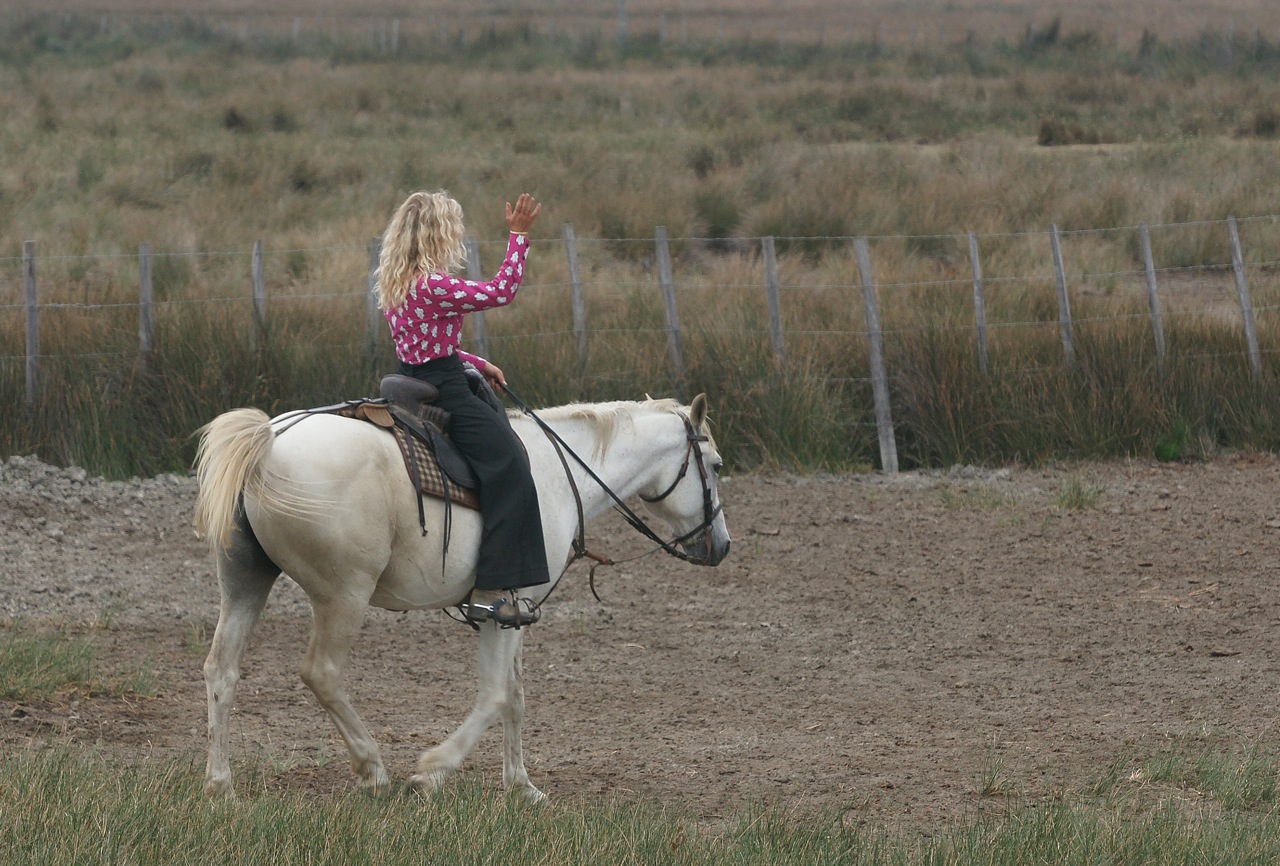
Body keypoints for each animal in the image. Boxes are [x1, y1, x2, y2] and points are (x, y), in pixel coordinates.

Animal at [190, 391, 732, 798]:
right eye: (716, 464)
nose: (722, 546)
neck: (558, 474)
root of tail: (270, 441)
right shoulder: (505, 607)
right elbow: (495, 695)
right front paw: (432, 770)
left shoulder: (511, 610)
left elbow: (514, 696)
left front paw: (522, 786)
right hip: (343, 595)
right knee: (320, 672)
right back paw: (372, 768)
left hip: (245, 582)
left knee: (222, 670)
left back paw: (221, 784)